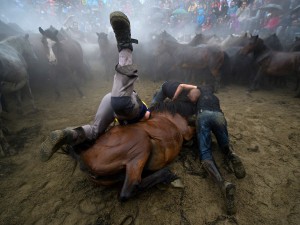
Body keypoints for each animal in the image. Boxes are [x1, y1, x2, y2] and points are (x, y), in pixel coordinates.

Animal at [55, 101, 195, 200]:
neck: (167, 116)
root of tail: (84, 159)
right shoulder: (186, 131)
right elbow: (193, 131)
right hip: (141, 146)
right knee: (129, 189)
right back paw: (166, 174)